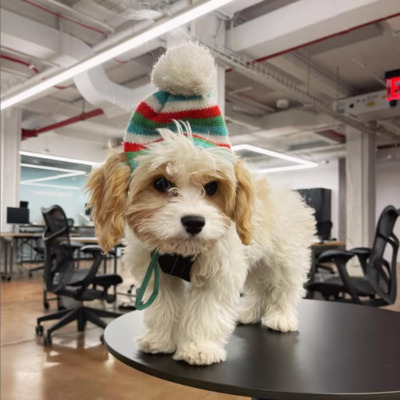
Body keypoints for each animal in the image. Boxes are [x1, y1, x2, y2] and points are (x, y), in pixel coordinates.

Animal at [86, 123, 316, 368]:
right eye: (161, 183)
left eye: (212, 186)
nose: (194, 222)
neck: (181, 252)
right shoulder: (160, 274)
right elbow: (163, 307)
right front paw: (160, 340)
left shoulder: (219, 273)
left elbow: (206, 312)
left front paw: (199, 349)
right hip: (258, 263)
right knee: (260, 289)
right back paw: (250, 314)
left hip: (285, 258)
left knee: (285, 288)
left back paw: (282, 318)